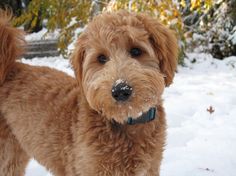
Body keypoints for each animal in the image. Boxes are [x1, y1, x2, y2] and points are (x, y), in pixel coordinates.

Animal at [0, 10, 177, 176]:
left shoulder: (151, 168)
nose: (120, 90)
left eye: (136, 51)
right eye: (101, 58)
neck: (126, 122)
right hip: (7, 155)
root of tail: (9, 69)